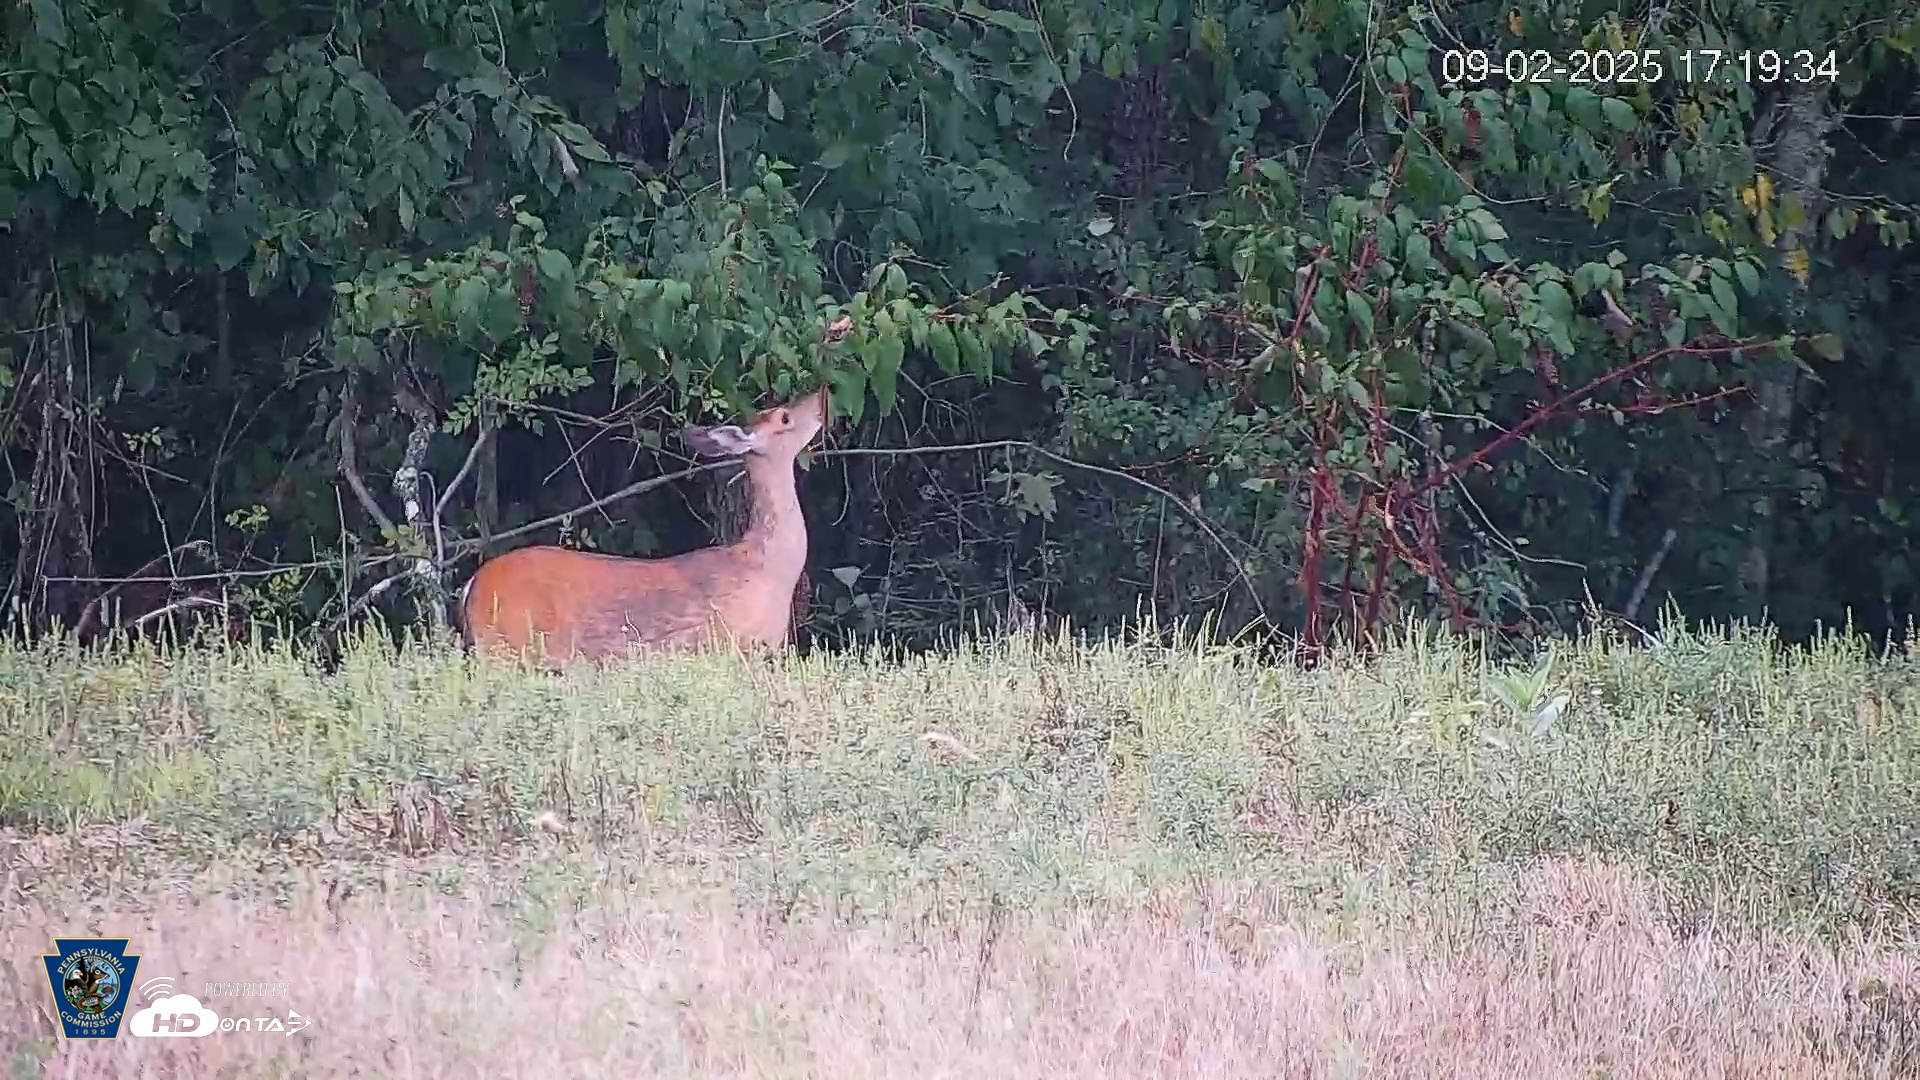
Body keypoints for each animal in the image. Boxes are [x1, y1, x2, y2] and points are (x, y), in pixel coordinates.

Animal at [457, 386, 830, 667]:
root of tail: (471, 587)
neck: (768, 566)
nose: (821, 396)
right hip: (505, 646)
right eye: (783, 416)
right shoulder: (739, 644)